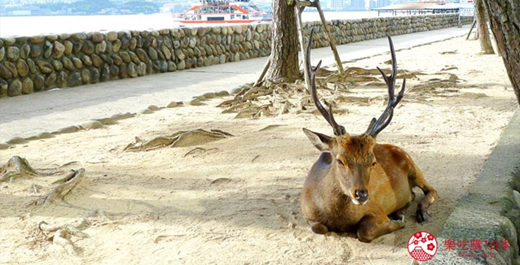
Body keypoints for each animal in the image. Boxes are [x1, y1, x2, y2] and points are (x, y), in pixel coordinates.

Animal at [300, 30, 438, 241]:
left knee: (431, 189)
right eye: (339, 160)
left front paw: (398, 222)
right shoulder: (307, 214)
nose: (362, 195)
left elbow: (364, 231)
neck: (337, 218)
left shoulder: (377, 209)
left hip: (412, 164)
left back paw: (419, 212)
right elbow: (319, 228)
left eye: (373, 162)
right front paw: (398, 217)